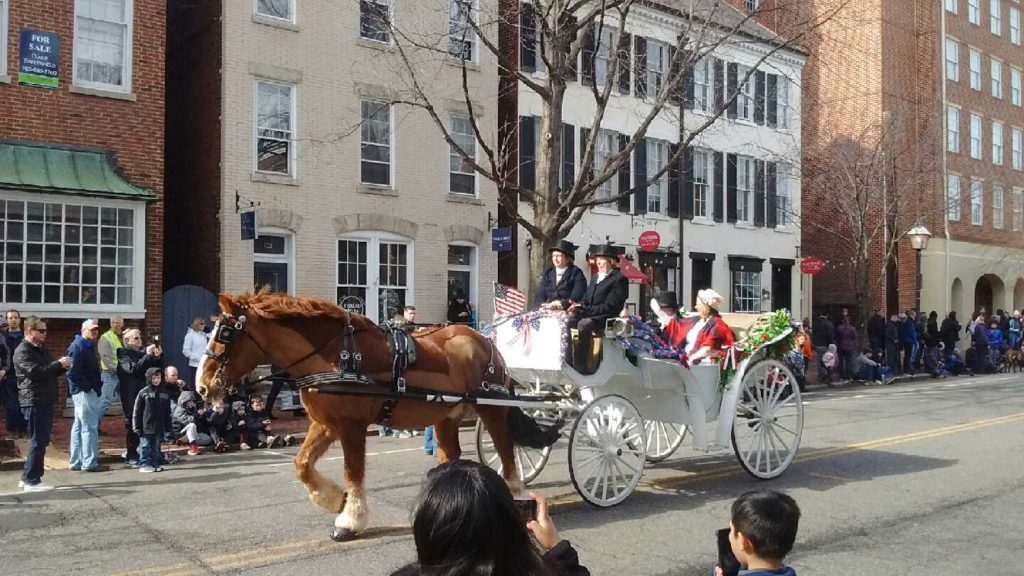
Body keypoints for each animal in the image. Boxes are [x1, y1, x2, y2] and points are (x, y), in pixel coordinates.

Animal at [194, 291, 557, 537]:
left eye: (225, 335)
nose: (201, 387)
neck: (334, 356)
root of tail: (484, 339)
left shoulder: (351, 425)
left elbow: (353, 471)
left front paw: (349, 519)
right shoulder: (325, 424)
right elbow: (302, 465)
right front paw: (333, 500)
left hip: (490, 406)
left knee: (506, 448)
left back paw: (515, 493)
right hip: (447, 414)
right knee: (451, 453)